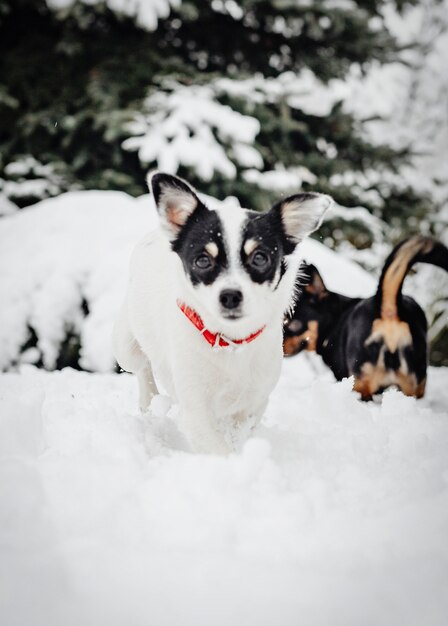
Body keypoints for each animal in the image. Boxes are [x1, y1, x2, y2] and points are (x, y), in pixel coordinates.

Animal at [114, 173, 330, 450]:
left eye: (260, 258)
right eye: (202, 261)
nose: (230, 295)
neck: (230, 341)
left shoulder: (253, 403)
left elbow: (238, 434)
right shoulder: (196, 409)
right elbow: (218, 448)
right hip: (126, 346)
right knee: (142, 368)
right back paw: (149, 400)